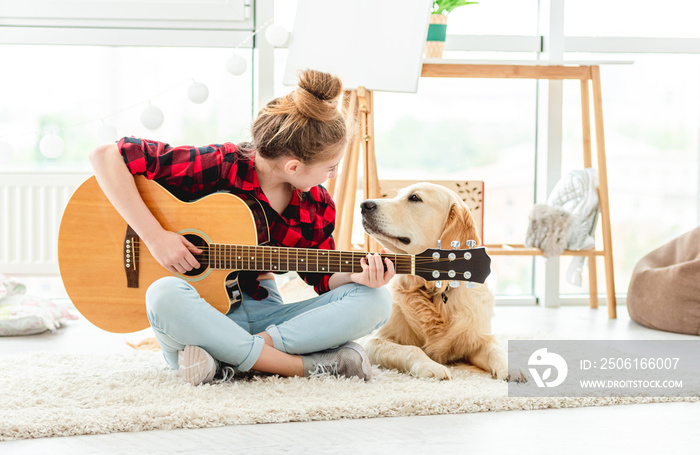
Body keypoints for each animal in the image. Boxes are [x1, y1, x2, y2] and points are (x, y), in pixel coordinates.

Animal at [360, 182, 520, 382]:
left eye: (414, 198)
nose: (364, 205)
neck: (433, 290)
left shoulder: (478, 339)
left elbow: (496, 351)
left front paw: (512, 368)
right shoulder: (371, 341)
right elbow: (411, 349)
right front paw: (431, 366)